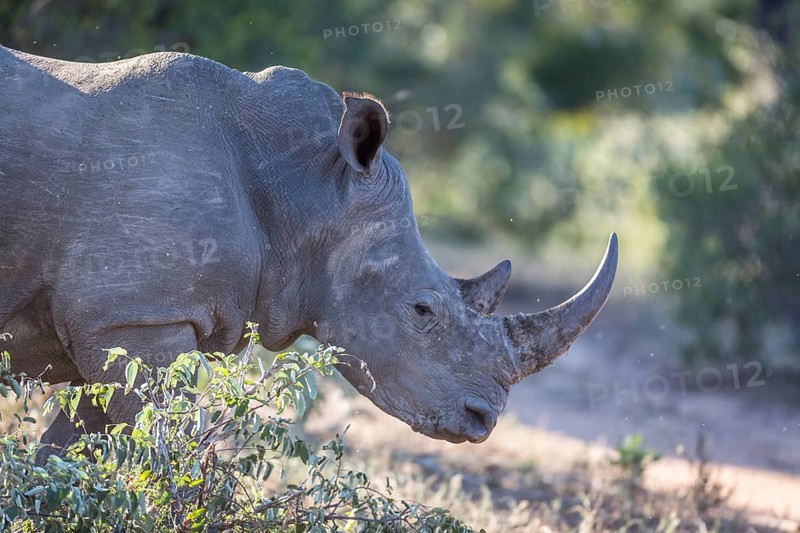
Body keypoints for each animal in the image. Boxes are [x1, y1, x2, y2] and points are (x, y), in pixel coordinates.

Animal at [0, 46, 617, 449]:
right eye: (422, 310)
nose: (482, 420)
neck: (308, 187)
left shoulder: (124, 322)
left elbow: (74, 450)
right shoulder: (135, 318)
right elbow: (145, 442)